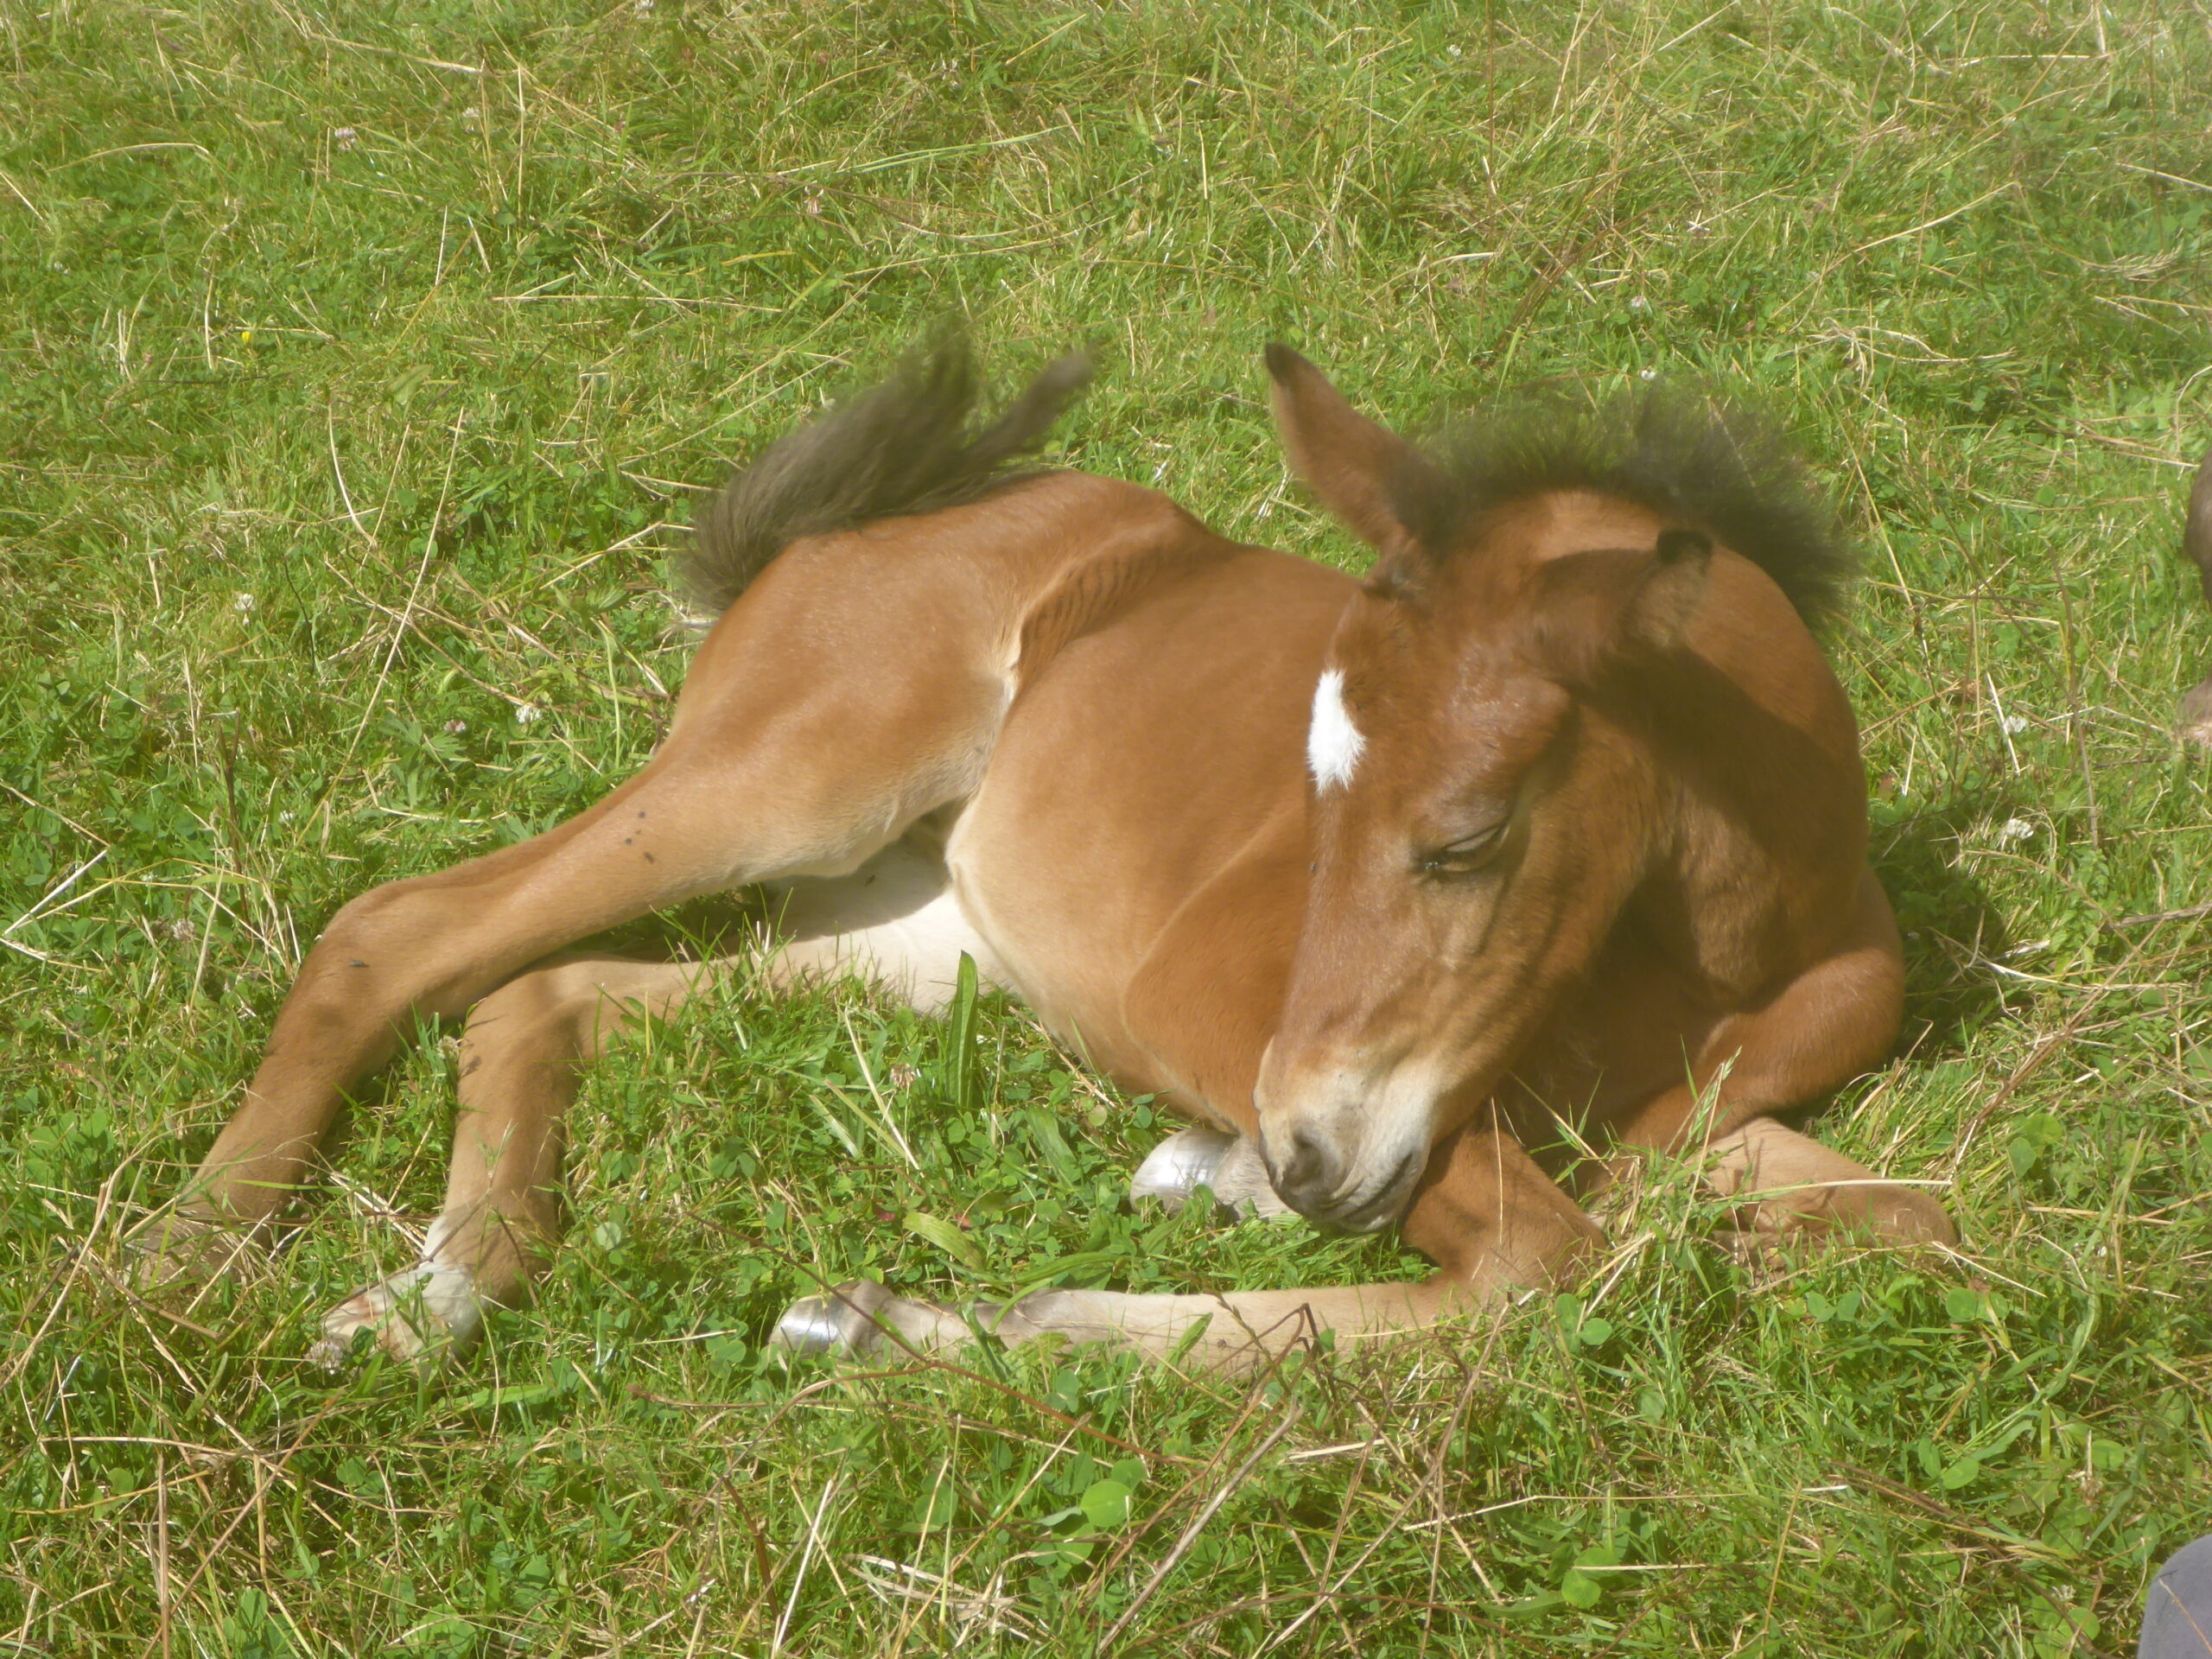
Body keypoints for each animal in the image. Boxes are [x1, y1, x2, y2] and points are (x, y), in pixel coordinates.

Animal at [138, 340, 1955, 1380]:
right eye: (1309, 798)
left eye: (1471, 834)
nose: (1304, 1161)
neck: (1709, 957)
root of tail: (856, 525)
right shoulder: (1221, 1005)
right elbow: (1542, 1269)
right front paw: (911, 1325)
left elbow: (1904, 1219)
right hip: (788, 781)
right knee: (398, 927)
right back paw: (198, 1255)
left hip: (928, 942)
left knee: (542, 991)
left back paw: (430, 1296)